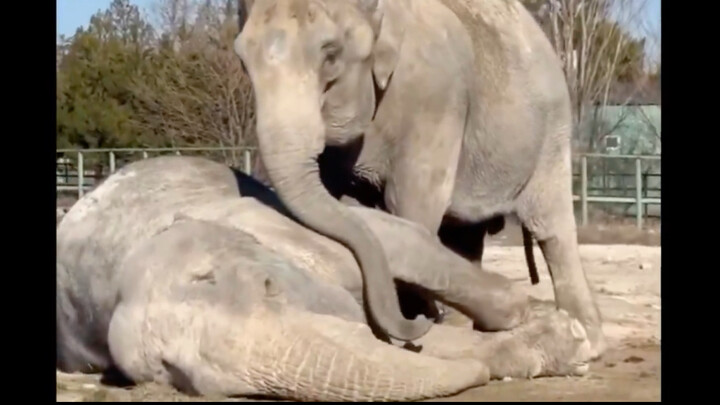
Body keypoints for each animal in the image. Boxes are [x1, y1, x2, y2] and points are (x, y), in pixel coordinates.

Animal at [57, 156, 593, 401]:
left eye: (269, 287)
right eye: (179, 375)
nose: (479, 375)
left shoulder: (271, 223)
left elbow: (397, 242)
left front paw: (568, 336)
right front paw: (549, 346)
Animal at [232, 0, 605, 356]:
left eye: (331, 54)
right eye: (242, 61)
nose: (422, 322)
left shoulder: (434, 95)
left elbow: (410, 204)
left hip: (551, 133)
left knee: (552, 227)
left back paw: (586, 337)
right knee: (464, 235)